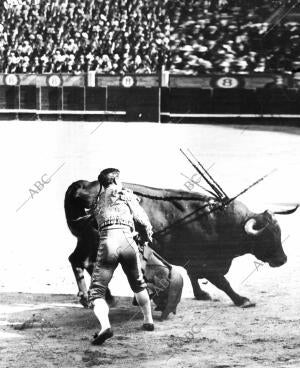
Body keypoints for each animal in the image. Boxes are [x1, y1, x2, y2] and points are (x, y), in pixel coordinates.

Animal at [64, 180, 296, 310]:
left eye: (279, 233)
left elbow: (194, 276)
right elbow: (222, 282)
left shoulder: (195, 262)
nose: (282, 260)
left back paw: (94, 298)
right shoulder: (207, 264)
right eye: (266, 237)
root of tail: (83, 186)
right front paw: (242, 300)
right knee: (88, 263)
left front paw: (201, 294)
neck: (221, 221)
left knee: (78, 261)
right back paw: (99, 297)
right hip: (95, 242)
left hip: (85, 241)